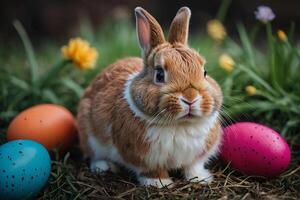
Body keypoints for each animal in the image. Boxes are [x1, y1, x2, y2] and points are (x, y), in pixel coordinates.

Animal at [77, 6, 223, 188]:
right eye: (159, 75)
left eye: (205, 72)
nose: (190, 98)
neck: (179, 124)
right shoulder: (143, 158)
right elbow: (151, 170)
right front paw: (159, 183)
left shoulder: (196, 156)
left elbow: (193, 167)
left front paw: (201, 178)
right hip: (89, 136)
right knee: (94, 155)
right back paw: (104, 166)